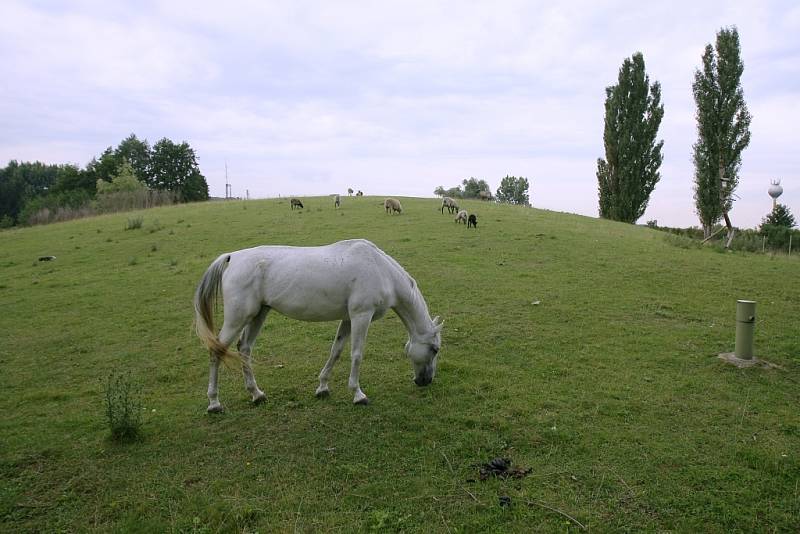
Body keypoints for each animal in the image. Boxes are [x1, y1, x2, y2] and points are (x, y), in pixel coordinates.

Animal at [195, 241, 444, 412]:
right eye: (435, 349)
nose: (425, 381)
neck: (381, 270)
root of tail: (232, 257)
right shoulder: (361, 316)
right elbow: (356, 354)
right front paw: (358, 394)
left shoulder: (348, 319)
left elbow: (336, 351)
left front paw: (323, 387)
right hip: (238, 318)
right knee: (217, 351)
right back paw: (214, 402)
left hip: (259, 314)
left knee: (245, 349)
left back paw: (256, 394)